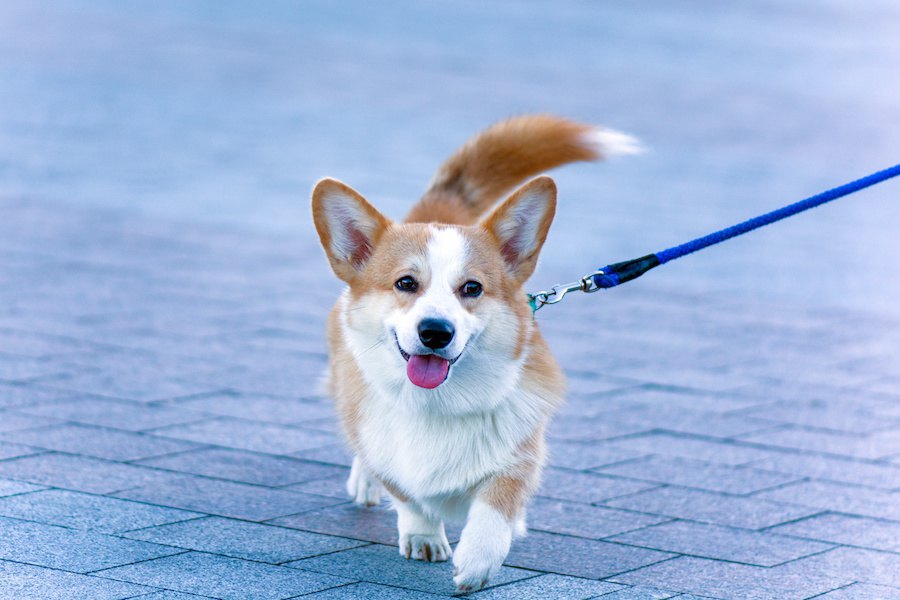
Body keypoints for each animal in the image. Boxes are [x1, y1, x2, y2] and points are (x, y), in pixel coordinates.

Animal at [312, 115, 636, 592]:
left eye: (472, 288)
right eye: (406, 283)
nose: (435, 332)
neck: (437, 406)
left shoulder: (520, 453)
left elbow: (497, 503)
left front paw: (479, 559)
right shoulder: (389, 452)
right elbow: (408, 496)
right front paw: (424, 536)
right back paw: (364, 481)